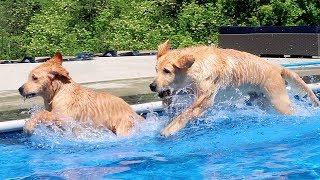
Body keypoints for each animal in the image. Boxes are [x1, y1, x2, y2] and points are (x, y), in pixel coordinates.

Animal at [151, 40, 320, 136]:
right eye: (156, 69)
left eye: (167, 71)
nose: (152, 86)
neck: (196, 66)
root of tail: (276, 67)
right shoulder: (190, 90)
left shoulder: (205, 98)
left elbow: (185, 113)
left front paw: (169, 129)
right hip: (262, 101)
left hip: (279, 101)